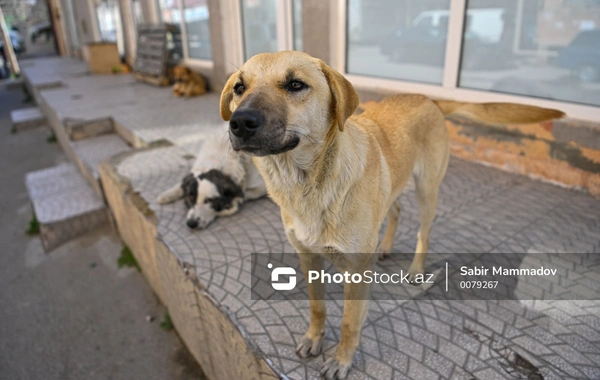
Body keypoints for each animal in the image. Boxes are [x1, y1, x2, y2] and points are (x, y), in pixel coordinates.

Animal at [219, 51, 564, 380]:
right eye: (239, 87)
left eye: (295, 85)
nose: (240, 122)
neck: (308, 184)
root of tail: (427, 98)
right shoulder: (308, 256)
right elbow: (317, 307)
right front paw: (314, 338)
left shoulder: (357, 272)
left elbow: (349, 323)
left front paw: (341, 360)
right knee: (396, 210)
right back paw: (384, 247)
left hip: (428, 188)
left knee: (424, 231)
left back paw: (415, 269)